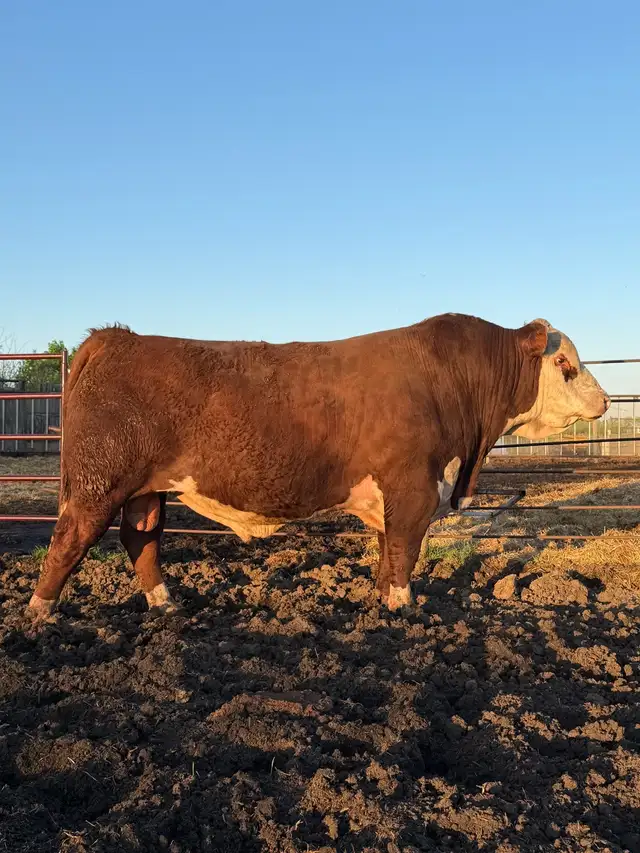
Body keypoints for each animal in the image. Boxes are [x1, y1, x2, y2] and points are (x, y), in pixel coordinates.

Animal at [26, 314, 609, 621]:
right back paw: (39, 611)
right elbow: (404, 550)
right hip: (100, 482)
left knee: (141, 537)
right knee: (71, 536)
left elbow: (386, 551)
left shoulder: (392, 494)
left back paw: (165, 602)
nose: (604, 401)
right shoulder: (414, 488)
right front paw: (405, 610)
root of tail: (116, 337)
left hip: (147, 487)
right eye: (565, 363)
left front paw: (383, 602)